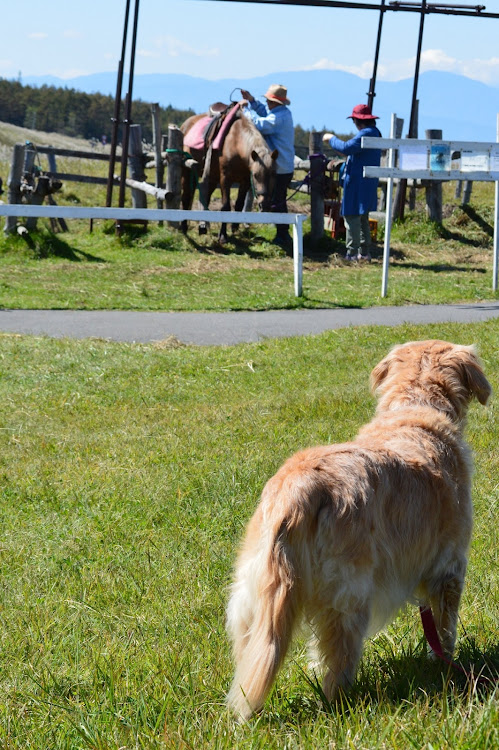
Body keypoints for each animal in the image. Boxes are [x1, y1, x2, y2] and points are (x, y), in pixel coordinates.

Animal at [179, 108, 278, 245]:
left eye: (274, 174)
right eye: (255, 175)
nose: (265, 205)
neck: (236, 142)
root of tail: (185, 126)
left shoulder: (245, 182)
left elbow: (239, 204)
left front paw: (234, 227)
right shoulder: (225, 179)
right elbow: (225, 206)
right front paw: (223, 236)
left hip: (211, 178)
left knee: (205, 198)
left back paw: (205, 225)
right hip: (187, 172)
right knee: (186, 197)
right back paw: (183, 227)